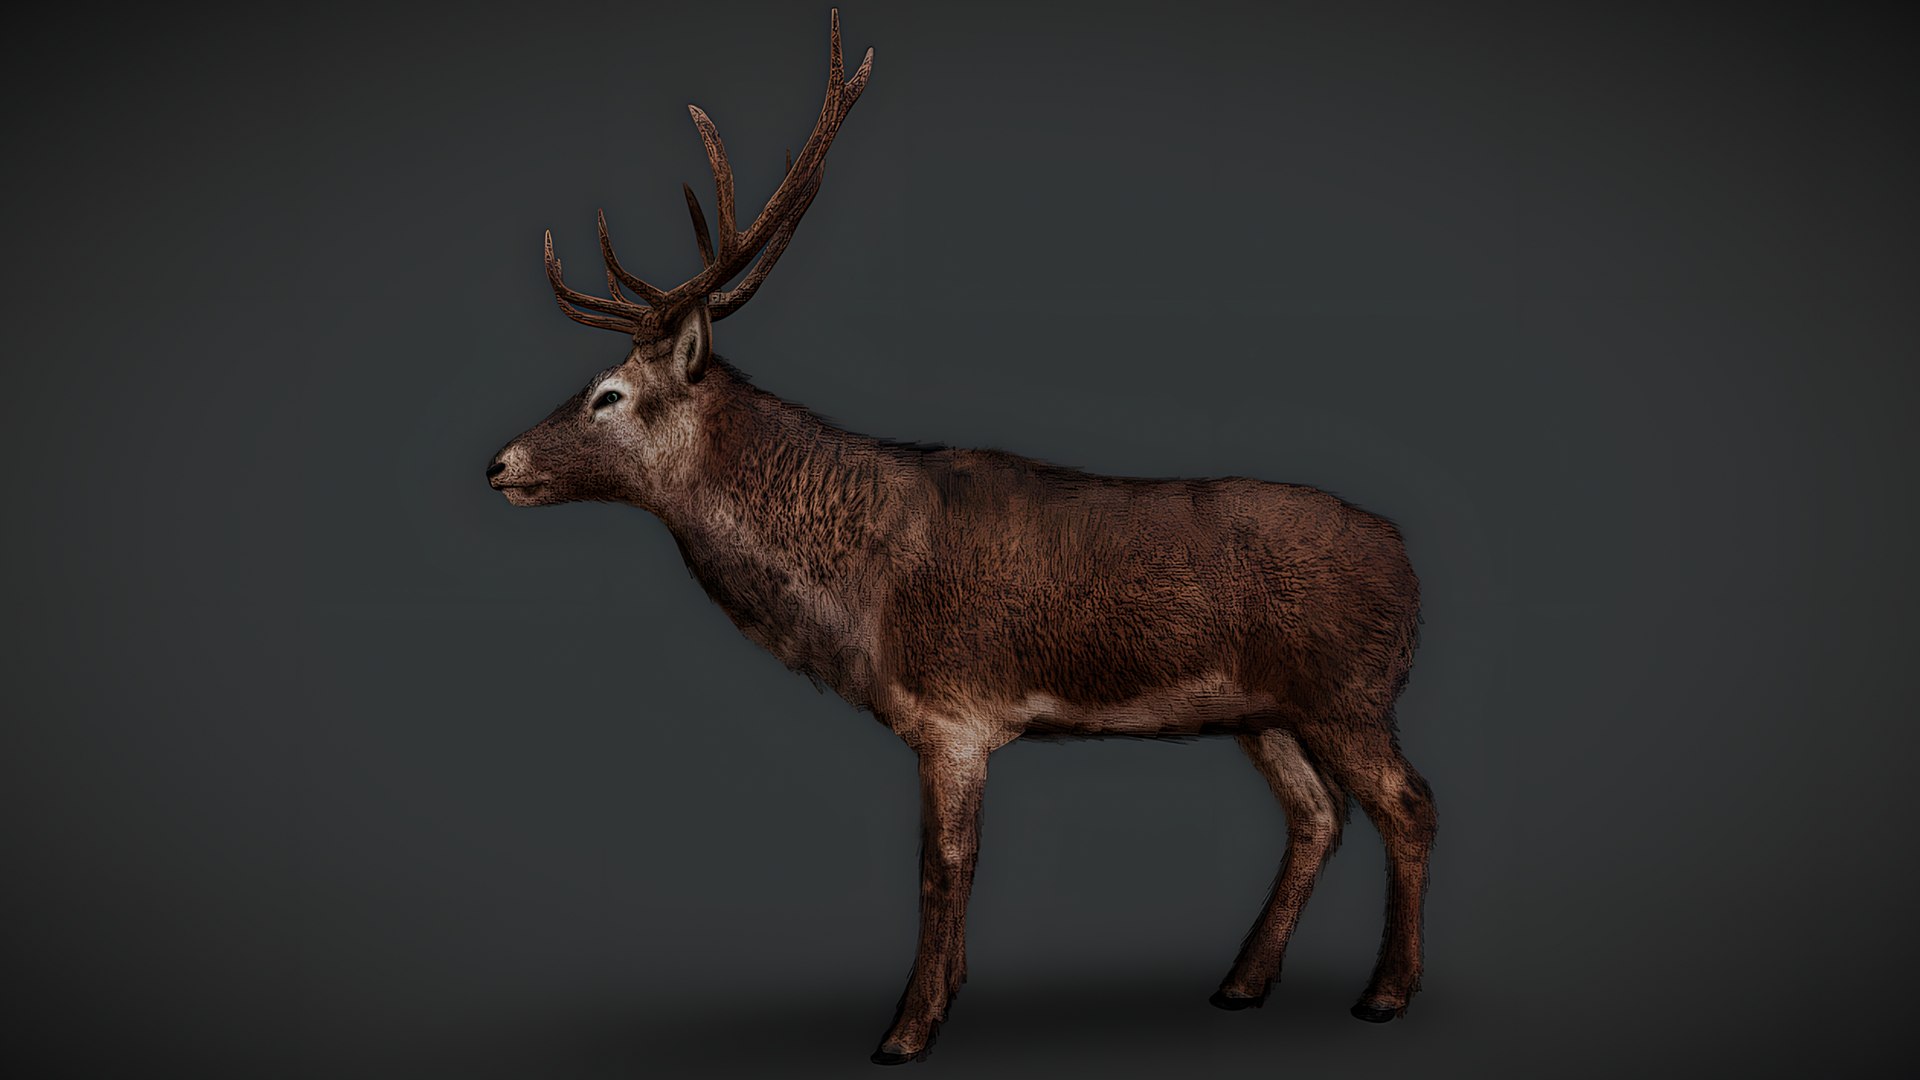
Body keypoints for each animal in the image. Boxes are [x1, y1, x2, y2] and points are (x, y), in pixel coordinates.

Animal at [486, 10, 1436, 1066]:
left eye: (609, 395)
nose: (498, 464)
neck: (857, 602)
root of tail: (1411, 563)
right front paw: (937, 1004)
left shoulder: (954, 709)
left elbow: (943, 869)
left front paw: (906, 1031)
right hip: (1265, 708)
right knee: (1318, 815)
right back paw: (1241, 982)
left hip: (1352, 689)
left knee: (1409, 805)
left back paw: (1386, 993)